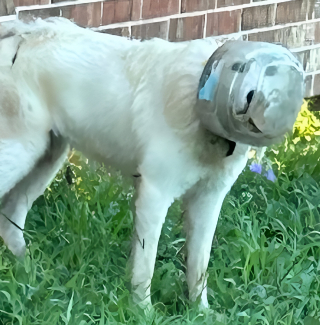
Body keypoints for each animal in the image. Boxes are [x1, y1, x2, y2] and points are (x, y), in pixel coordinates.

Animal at [0, 17, 304, 306]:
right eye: (244, 74)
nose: (254, 104)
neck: (197, 98)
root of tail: (20, 35)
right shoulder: (155, 194)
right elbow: (146, 263)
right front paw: (143, 309)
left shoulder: (208, 199)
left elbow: (199, 264)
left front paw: (200, 310)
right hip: (21, 152)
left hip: (48, 157)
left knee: (11, 216)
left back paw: (30, 272)